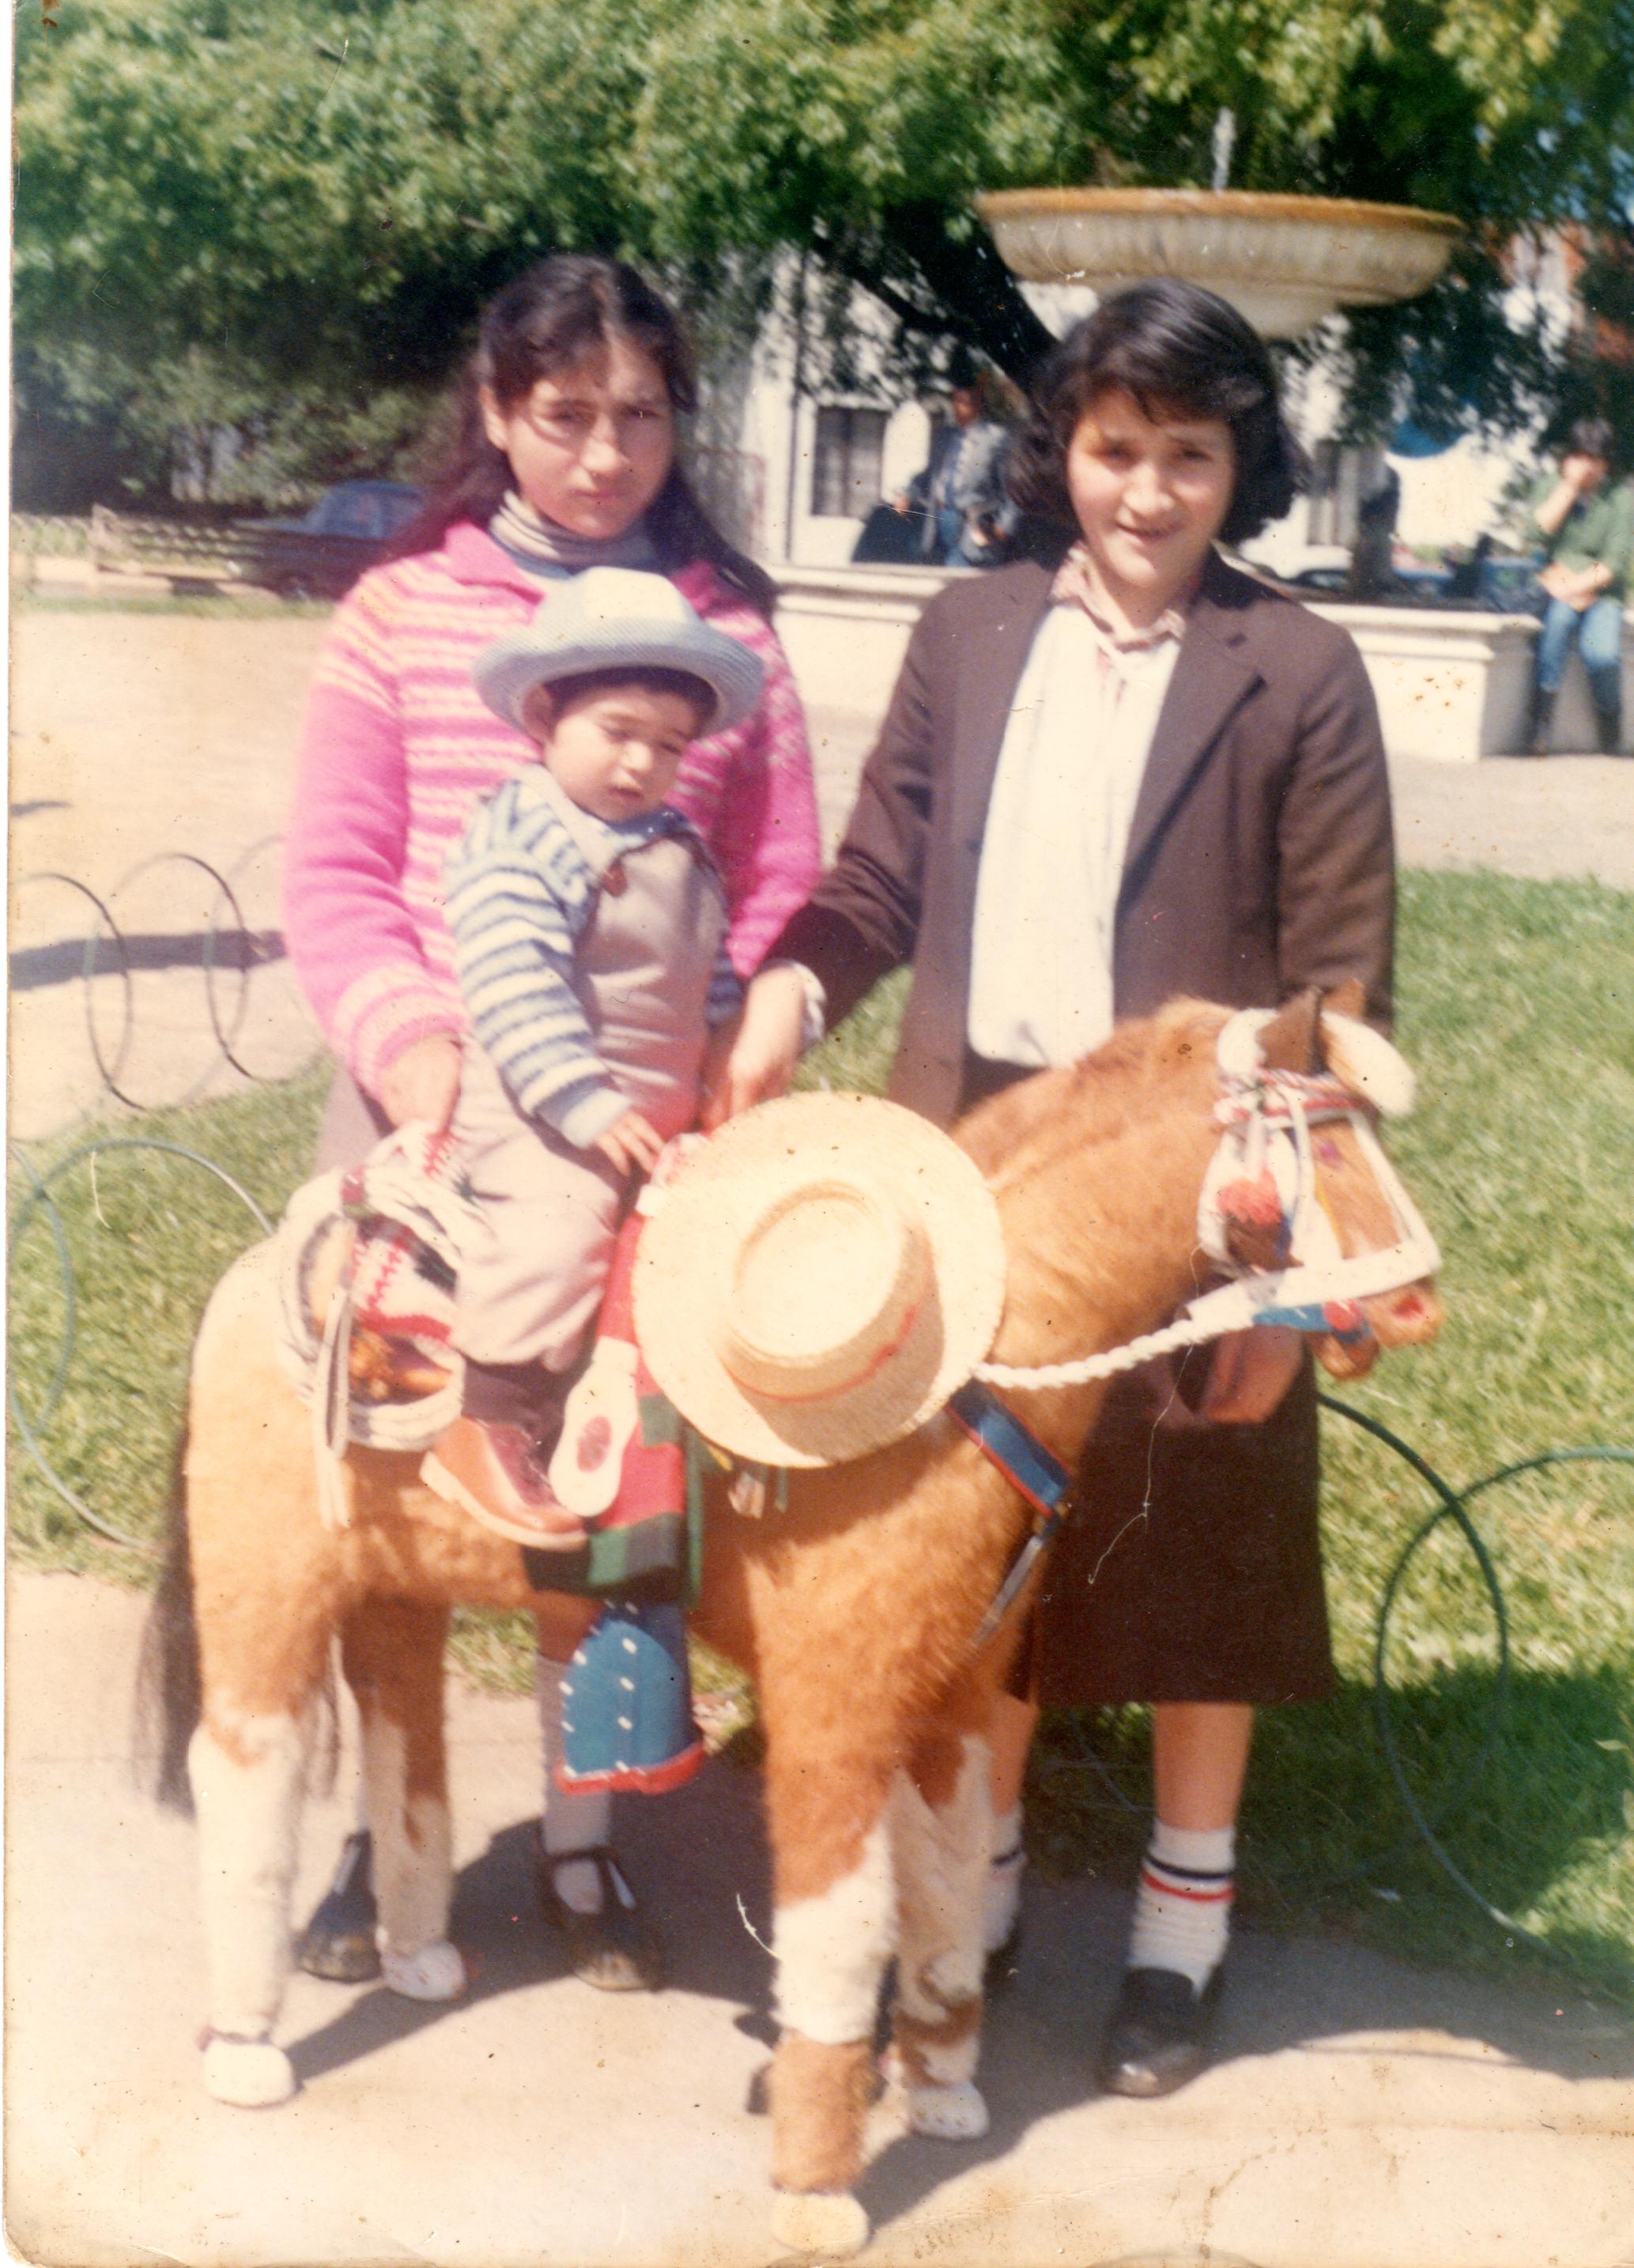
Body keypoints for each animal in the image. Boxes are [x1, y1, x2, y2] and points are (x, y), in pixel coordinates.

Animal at [146, 988, 1434, 2250]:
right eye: (1322, 1145)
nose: (1419, 1300)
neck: (955, 1374)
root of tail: (260, 1268)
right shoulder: (834, 1716)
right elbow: (844, 1925)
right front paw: (819, 2192)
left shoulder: (954, 1700)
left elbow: (946, 1885)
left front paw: (944, 2087)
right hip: (264, 1590)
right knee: (247, 1775)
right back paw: (247, 2047)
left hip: (395, 1596)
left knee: (401, 1746)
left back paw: (417, 1955)